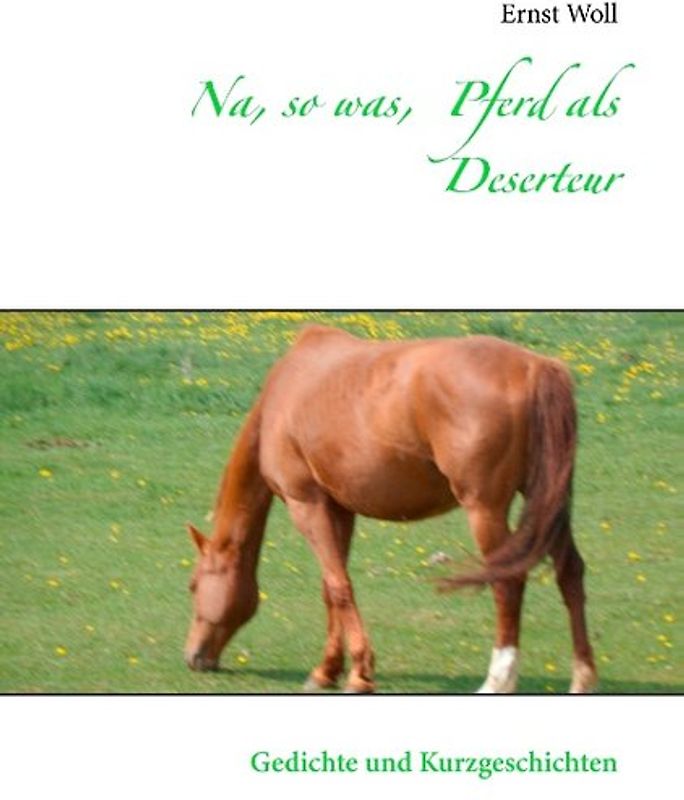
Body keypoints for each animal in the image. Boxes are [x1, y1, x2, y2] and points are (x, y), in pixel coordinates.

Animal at [184, 324, 598, 694]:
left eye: (193, 585)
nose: (193, 657)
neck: (285, 392)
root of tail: (536, 367)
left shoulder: (307, 505)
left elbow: (340, 587)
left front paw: (359, 674)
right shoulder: (338, 509)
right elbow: (331, 588)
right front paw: (326, 671)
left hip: (486, 510)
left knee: (508, 581)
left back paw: (497, 681)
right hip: (548, 501)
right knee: (570, 572)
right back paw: (582, 678)